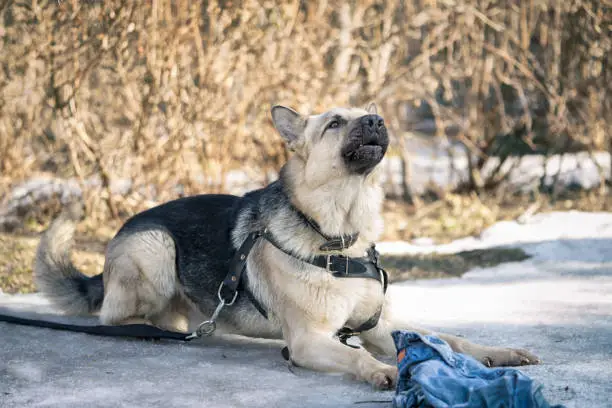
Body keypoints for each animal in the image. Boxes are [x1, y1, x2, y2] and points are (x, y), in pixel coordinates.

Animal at [35, 104, 536, 388]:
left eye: (367, 113)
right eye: (335, 123)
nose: (377, 120)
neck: (339, 235)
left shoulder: (379, 325)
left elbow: (450, 338)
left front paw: (497, 353)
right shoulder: (310, 340)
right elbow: (355, 355)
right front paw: (385, 371)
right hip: (155, 246)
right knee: (115, 316)